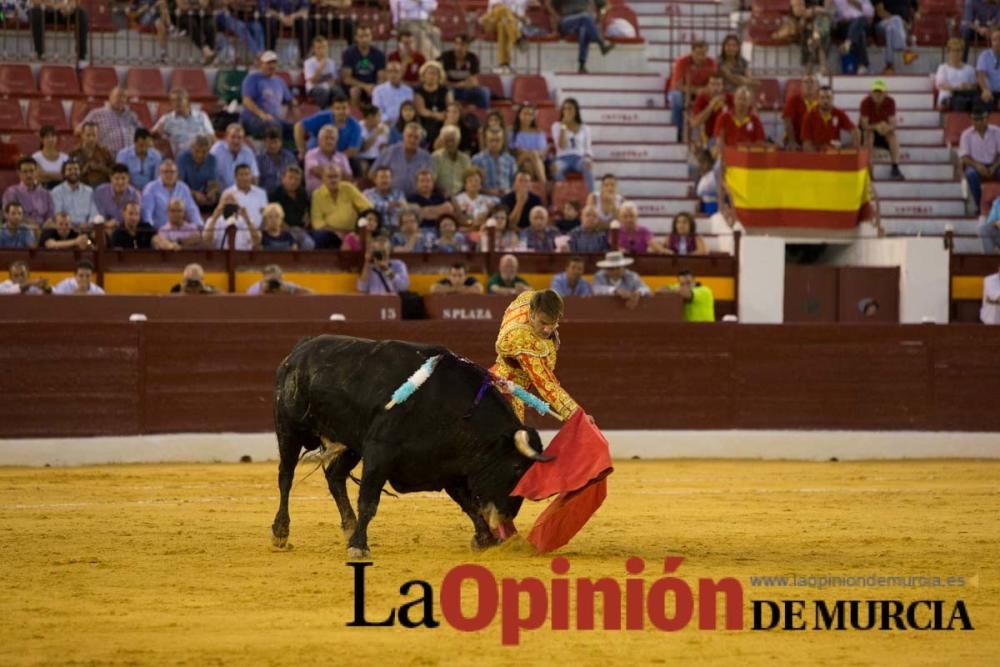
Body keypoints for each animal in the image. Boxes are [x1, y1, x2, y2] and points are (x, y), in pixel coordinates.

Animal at [272, 334, 548, 560]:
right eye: (516, 468)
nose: (508, 517)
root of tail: (299, 350)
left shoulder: (449, 466)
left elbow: (468, 504)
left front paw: (484, 539)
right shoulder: (379, 453)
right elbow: (369, 501)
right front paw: (359, 546)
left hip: (350, 444)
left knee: (334, 476)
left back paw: (348, 526)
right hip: (289, 429)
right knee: (286, 477)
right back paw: (281, 531)